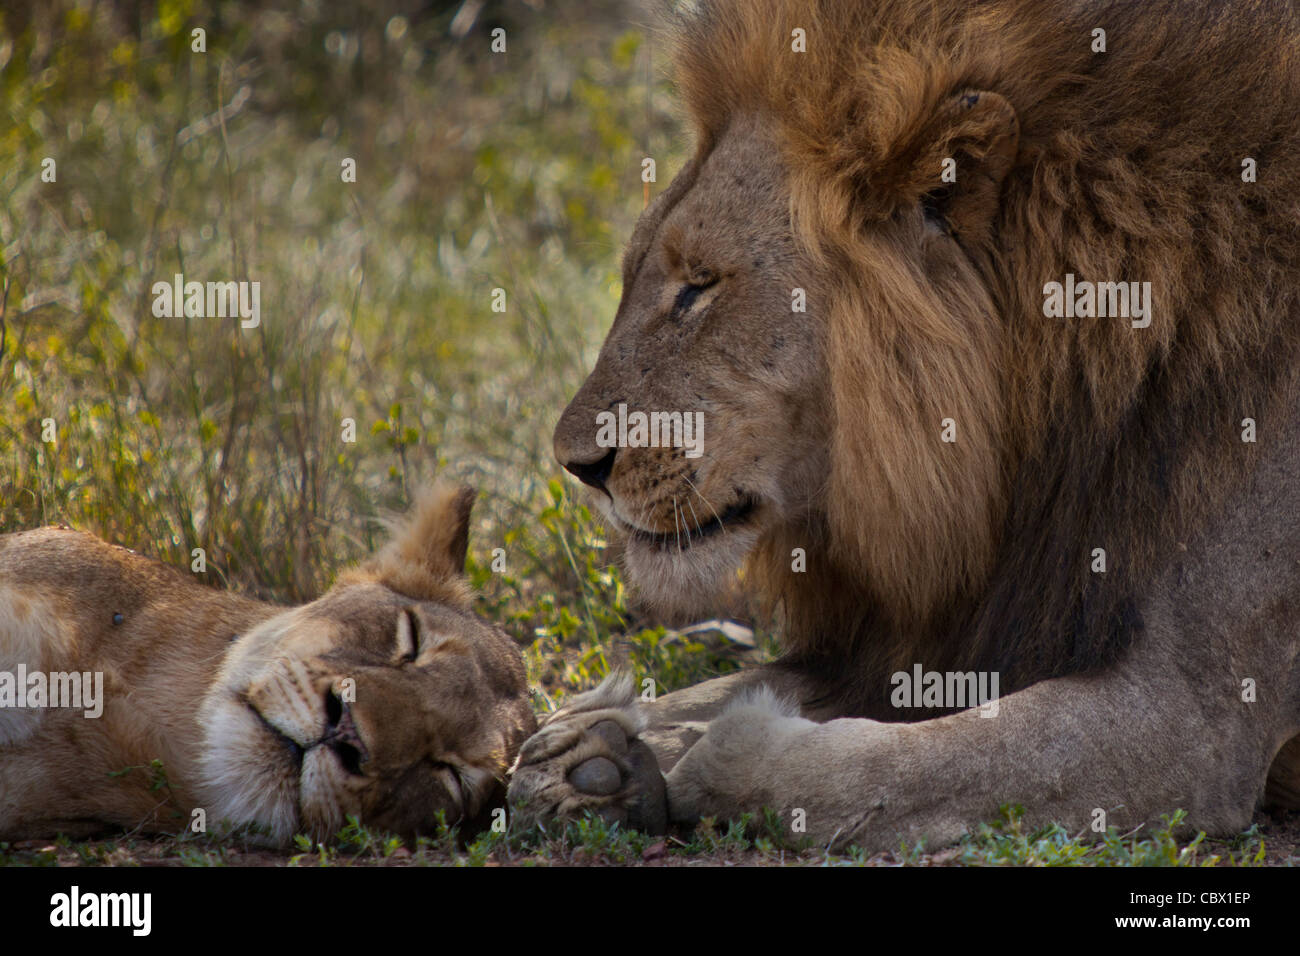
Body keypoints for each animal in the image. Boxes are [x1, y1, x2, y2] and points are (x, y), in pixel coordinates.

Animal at [508, 0, 1300, 850]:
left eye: (699, 286)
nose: (576, 465)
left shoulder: (1196, 717)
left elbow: (890, 762)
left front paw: (691, 752)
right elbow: (746, 682)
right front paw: (589, 745)